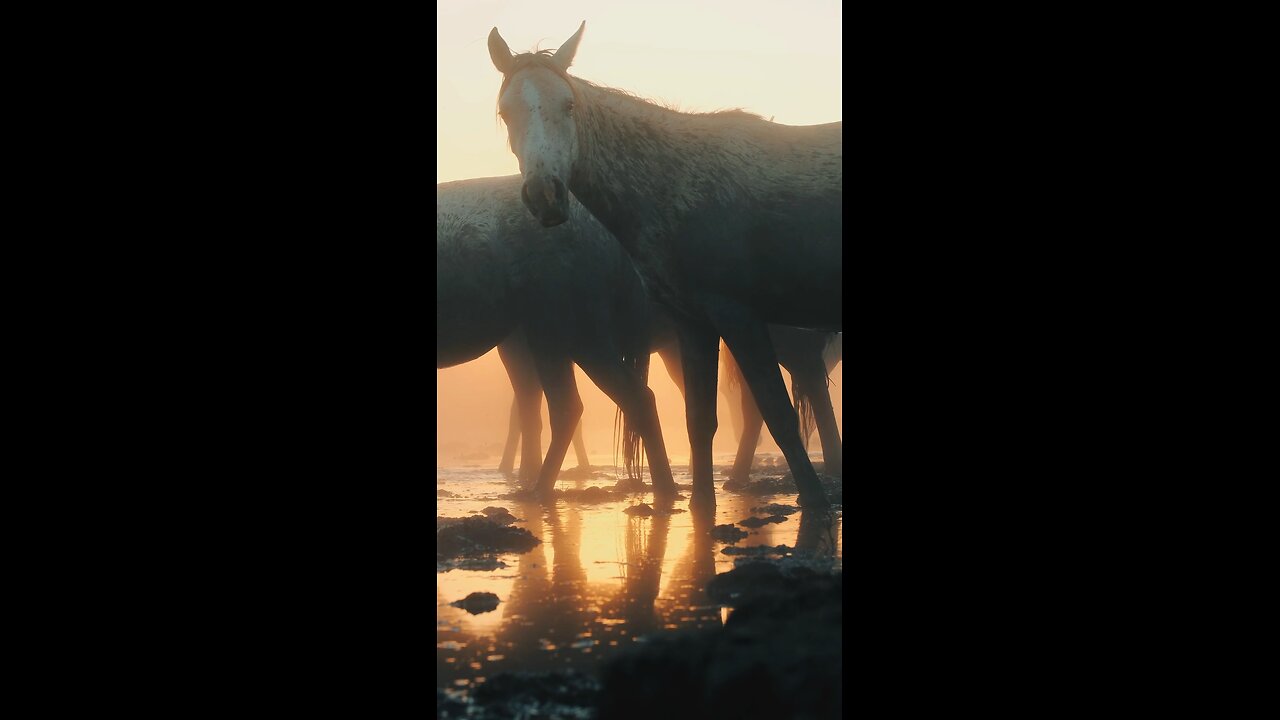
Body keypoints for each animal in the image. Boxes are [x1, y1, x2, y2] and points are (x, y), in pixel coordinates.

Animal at [486, 22, 839, 504]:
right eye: (507, 113)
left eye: (569, 105)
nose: (545, 196)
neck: (675, 180)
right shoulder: (693, 322)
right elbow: (700, 421)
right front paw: (701, 506)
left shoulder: (740, 316)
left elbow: (778, 414)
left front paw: (816, 503)